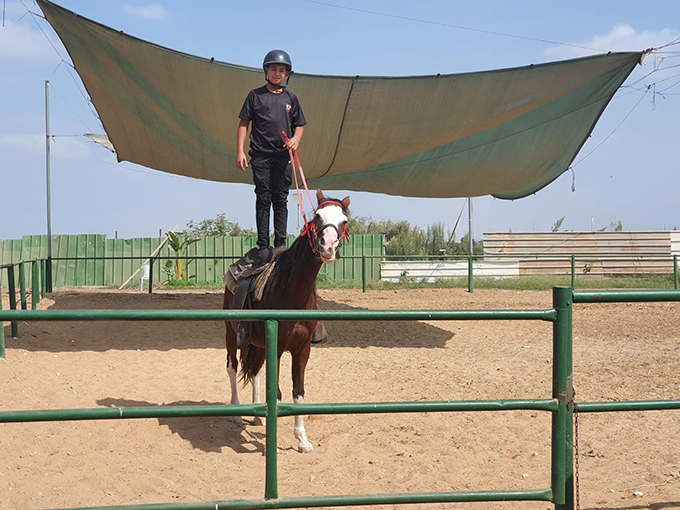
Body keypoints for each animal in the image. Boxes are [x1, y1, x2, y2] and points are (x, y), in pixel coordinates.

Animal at [224, 189, 350, 452]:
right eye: (317, 217)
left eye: (344, 221)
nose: (328, 246)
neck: (293, 292)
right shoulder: (279, 348)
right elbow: (278, 393)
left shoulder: (302, 349)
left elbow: (298, 391)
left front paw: (302, 439)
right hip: (230, 333)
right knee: (232, 366)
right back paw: (235, 411)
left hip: (258, 344)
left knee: (255, 370)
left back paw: (257, 415)